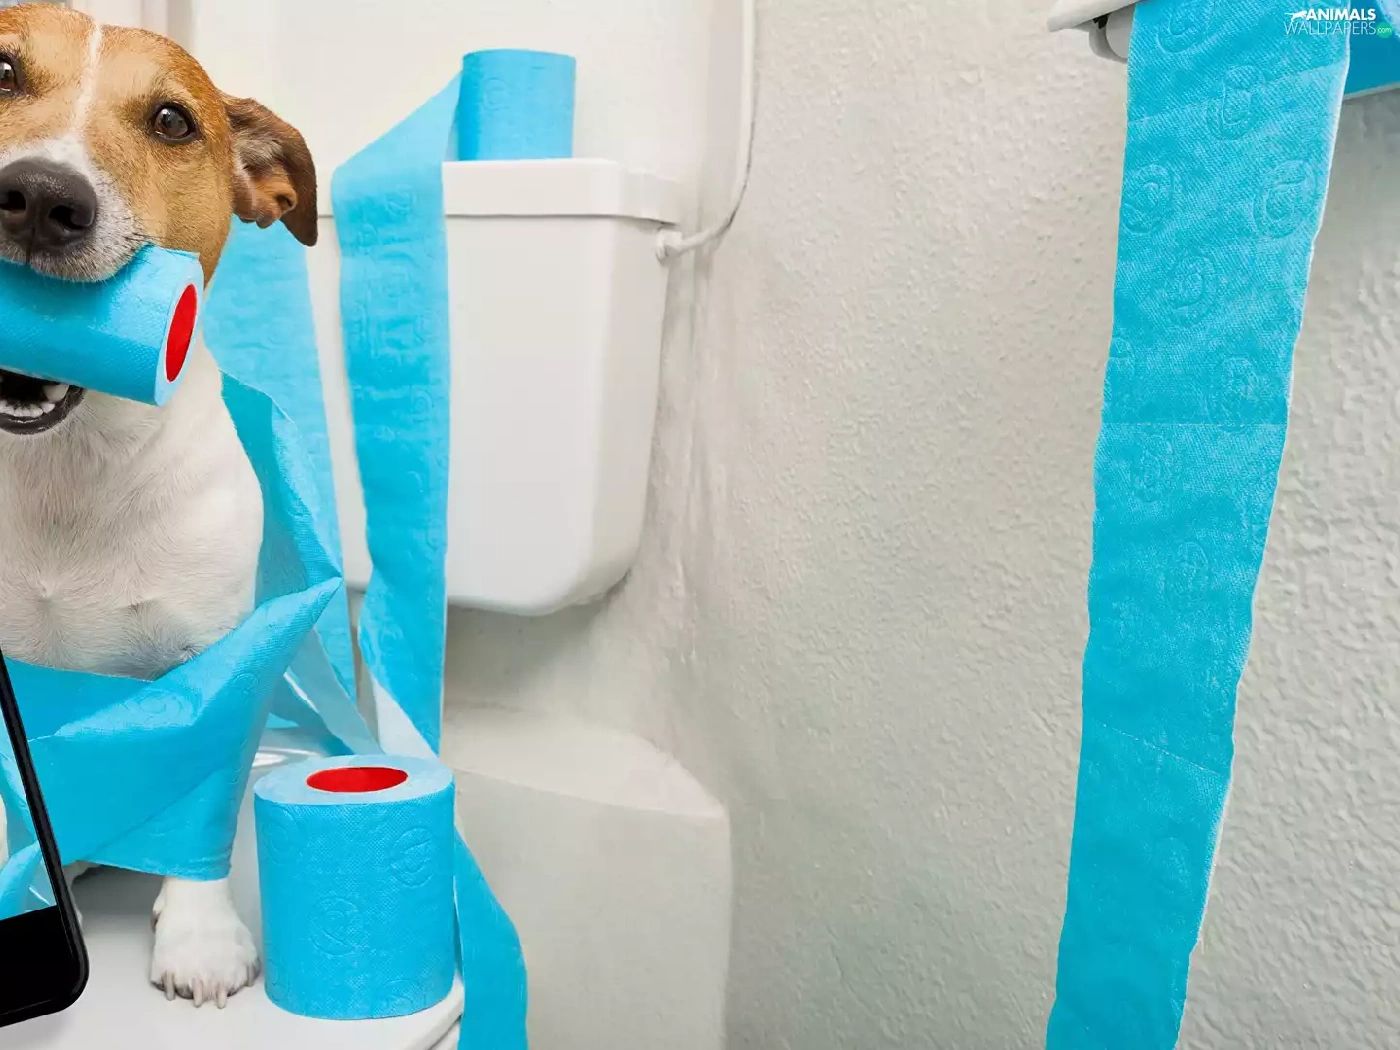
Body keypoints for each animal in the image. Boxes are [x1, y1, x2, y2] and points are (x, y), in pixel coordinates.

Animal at [0, 4, 317, 1007]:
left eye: (173, 121)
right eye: (3, 70)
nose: (39, 196)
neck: (61, 469)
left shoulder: (213, 656)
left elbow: (199, 800)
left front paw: (200, 938)